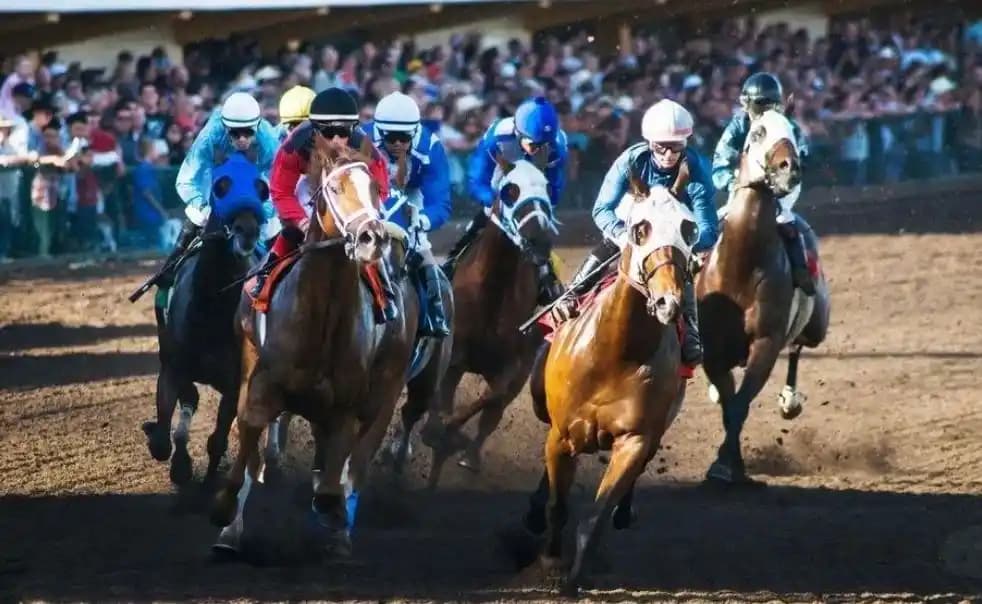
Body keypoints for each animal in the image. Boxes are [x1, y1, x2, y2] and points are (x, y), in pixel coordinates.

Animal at [142, 155, 266, 486]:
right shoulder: (173, 367)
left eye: (261, 188)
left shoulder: (235, 384)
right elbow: (163, 440)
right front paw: (179, 465)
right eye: (221, 186)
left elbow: (218, 440)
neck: (212, 306)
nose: (247, 231)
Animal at [211, 137, 418, 556]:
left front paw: (331, 515)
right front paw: (225, 514)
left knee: (357, 462)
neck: (321, 315)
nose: (372, 237)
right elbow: (251, 431)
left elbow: (337, 468)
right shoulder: (261, 381)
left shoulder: (345, 404)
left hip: (386, 388)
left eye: (376, 188)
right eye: (335, 188)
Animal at [430, 159, 560, 476]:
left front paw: (452, 431)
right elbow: (442, 398)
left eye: (546, 186)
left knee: (491, 415)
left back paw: (469, 455)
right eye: (510, 190)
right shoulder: (454, 358)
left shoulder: (513, 367)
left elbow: (491, 397)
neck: (493, 292)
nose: (539, 240)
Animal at [520, 180, 696, 596]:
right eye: (640, 228)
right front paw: (550, 561)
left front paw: (576, 576)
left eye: (689, 228)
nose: (668, 303)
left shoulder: (635, 439)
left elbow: (596, 516)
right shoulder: (562, 434)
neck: (617, 353)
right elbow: (558, 505)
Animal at [700, 109, 832, 486]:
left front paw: (726, 465)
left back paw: (790, 400)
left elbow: (739, 406)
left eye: (792, 130)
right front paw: (727, 466)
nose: (789, 168)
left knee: (799, 345)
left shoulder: (765, 342)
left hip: (817, 324)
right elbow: (729, 404)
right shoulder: (713, 349)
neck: (741, 266)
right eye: (757, 132)